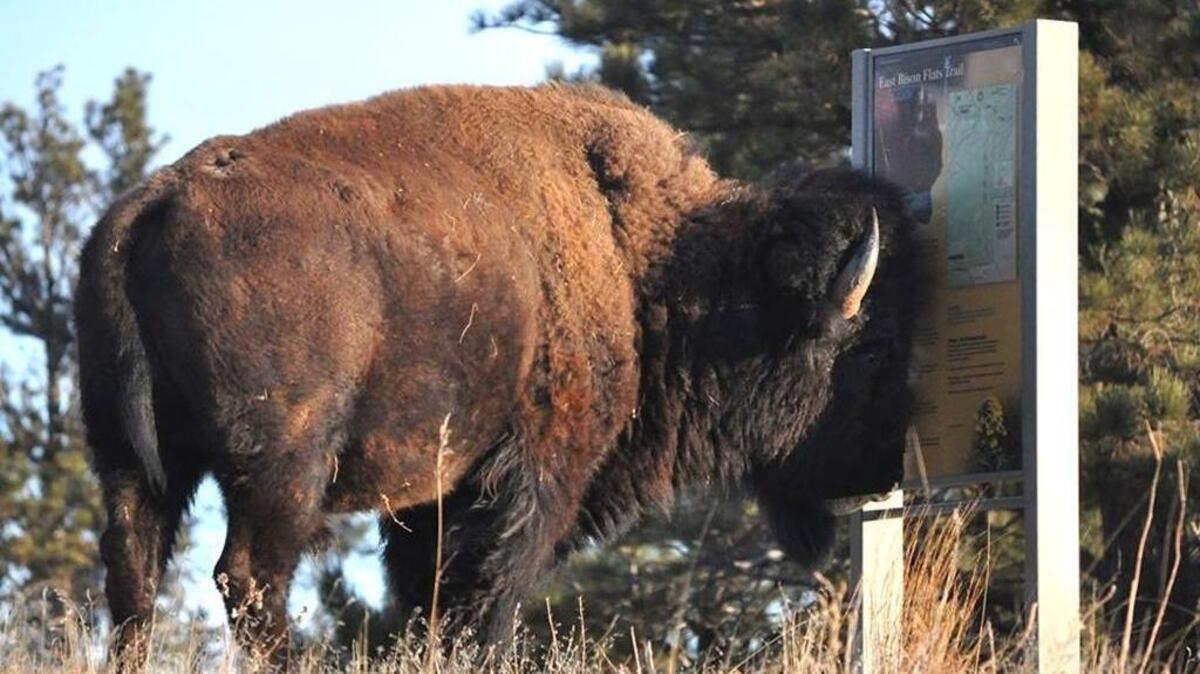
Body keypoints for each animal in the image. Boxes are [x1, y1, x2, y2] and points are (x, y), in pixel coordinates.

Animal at [75, 84, 917, 666]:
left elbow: (428, 597)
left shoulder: (432, 499)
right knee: (248, 578)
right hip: (282, 465)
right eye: (873, 350)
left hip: (128, 457)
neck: (650, 261)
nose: (883, 471)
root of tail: (155, 201)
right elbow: (488, 597)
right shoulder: (534, 477)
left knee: (133, 573)